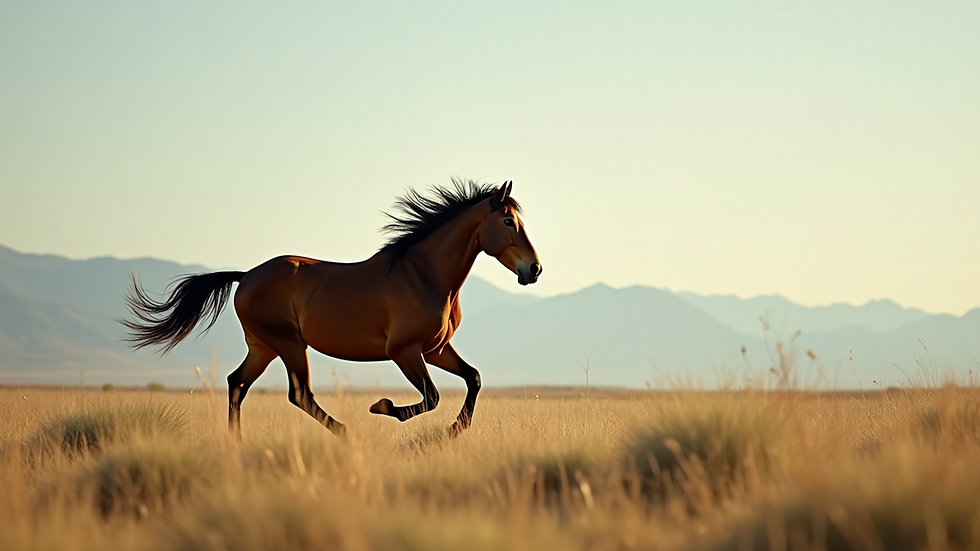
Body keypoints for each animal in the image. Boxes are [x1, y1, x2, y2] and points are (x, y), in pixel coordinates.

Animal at [121, 180, 541, 439]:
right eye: (508, 221)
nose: (534, 269)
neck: (426, 276)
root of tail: (246, 277)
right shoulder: (403, 351)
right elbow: (432, 397)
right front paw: (383, 406)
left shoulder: (435, 349)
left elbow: (473, 379)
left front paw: (454, 431)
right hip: (288, 343)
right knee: (298, 394)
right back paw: (348, 433)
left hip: (263, 346)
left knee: (237, 383)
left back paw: (235, 444)